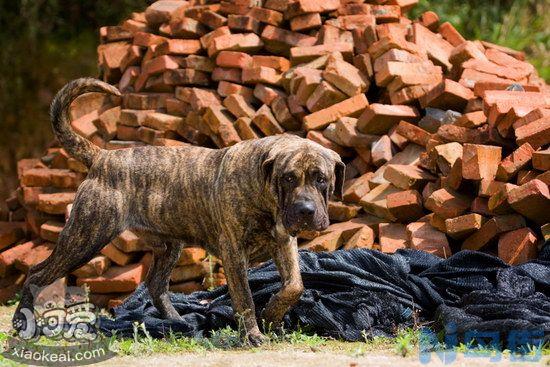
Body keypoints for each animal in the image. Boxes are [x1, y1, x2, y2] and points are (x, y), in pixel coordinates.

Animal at [12, 79, 344, 346]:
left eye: (321, 178)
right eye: (288, 178)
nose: (305, 210)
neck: (265, 196)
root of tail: (103, 157)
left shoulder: (284, 242)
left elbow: (295, 286)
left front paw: (272, 315)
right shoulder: (233, 252)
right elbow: (245, 297)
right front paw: (252, 334)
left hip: (168, 245)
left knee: (156, 285)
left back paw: (179, 322)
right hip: (86, 236)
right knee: (37, 272)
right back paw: (22, 322)